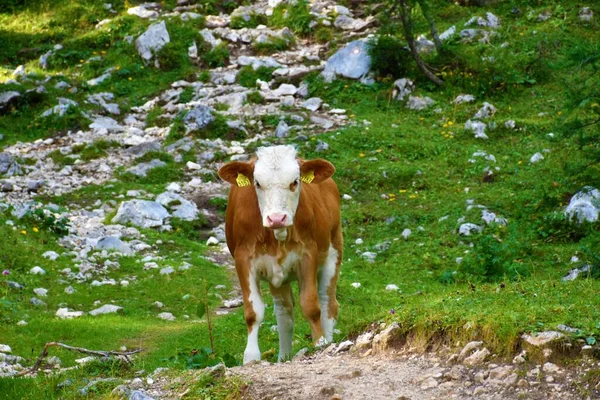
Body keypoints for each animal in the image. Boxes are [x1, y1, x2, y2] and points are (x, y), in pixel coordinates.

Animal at [219, 145, 342, 364]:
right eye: (257, 183)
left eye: (295, 181)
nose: (277, 218)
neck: (276, 237)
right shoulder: (243, 259)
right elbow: (253, 312)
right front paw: (251, 357)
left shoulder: (307, 254)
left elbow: (311, 305)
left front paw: (320, 343)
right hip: (277, 277)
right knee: (285, 314)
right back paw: (284, 356)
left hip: (334, 250)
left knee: (328, 302)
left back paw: (328, 339)